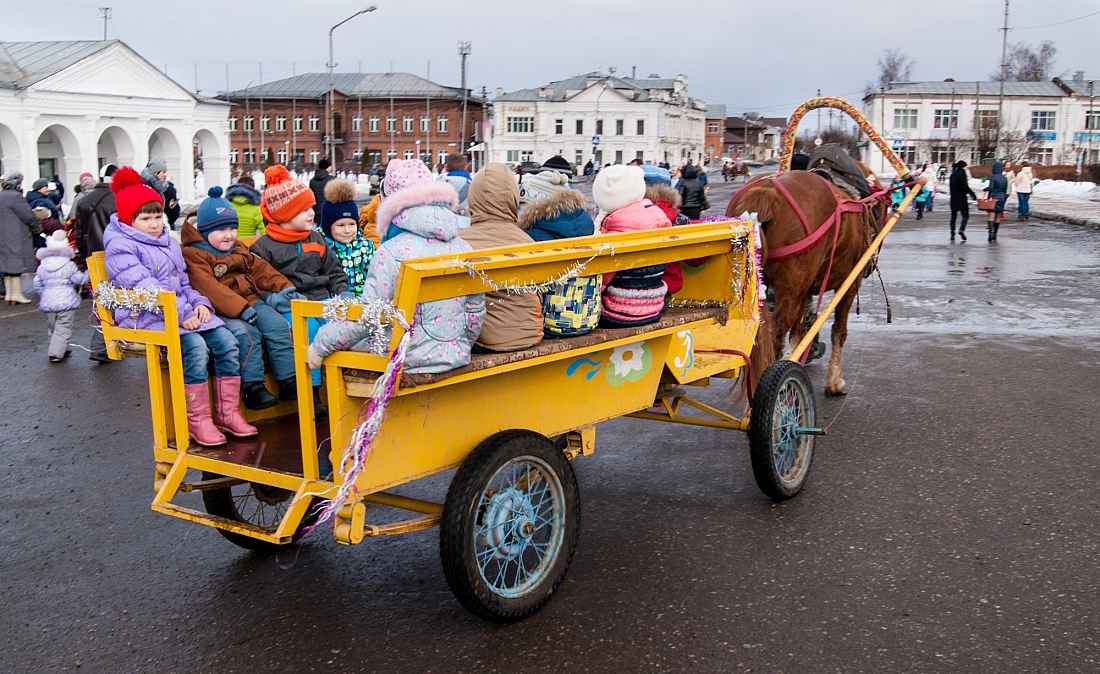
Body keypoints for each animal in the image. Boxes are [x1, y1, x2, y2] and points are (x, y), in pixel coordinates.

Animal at [730, 167, 884, 393]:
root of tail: (766, 193)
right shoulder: (850, 283)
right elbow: (839, 331)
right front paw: (834, 380)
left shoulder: (805, 290)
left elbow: (799, 331)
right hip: (792, 289)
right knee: (775, 332)